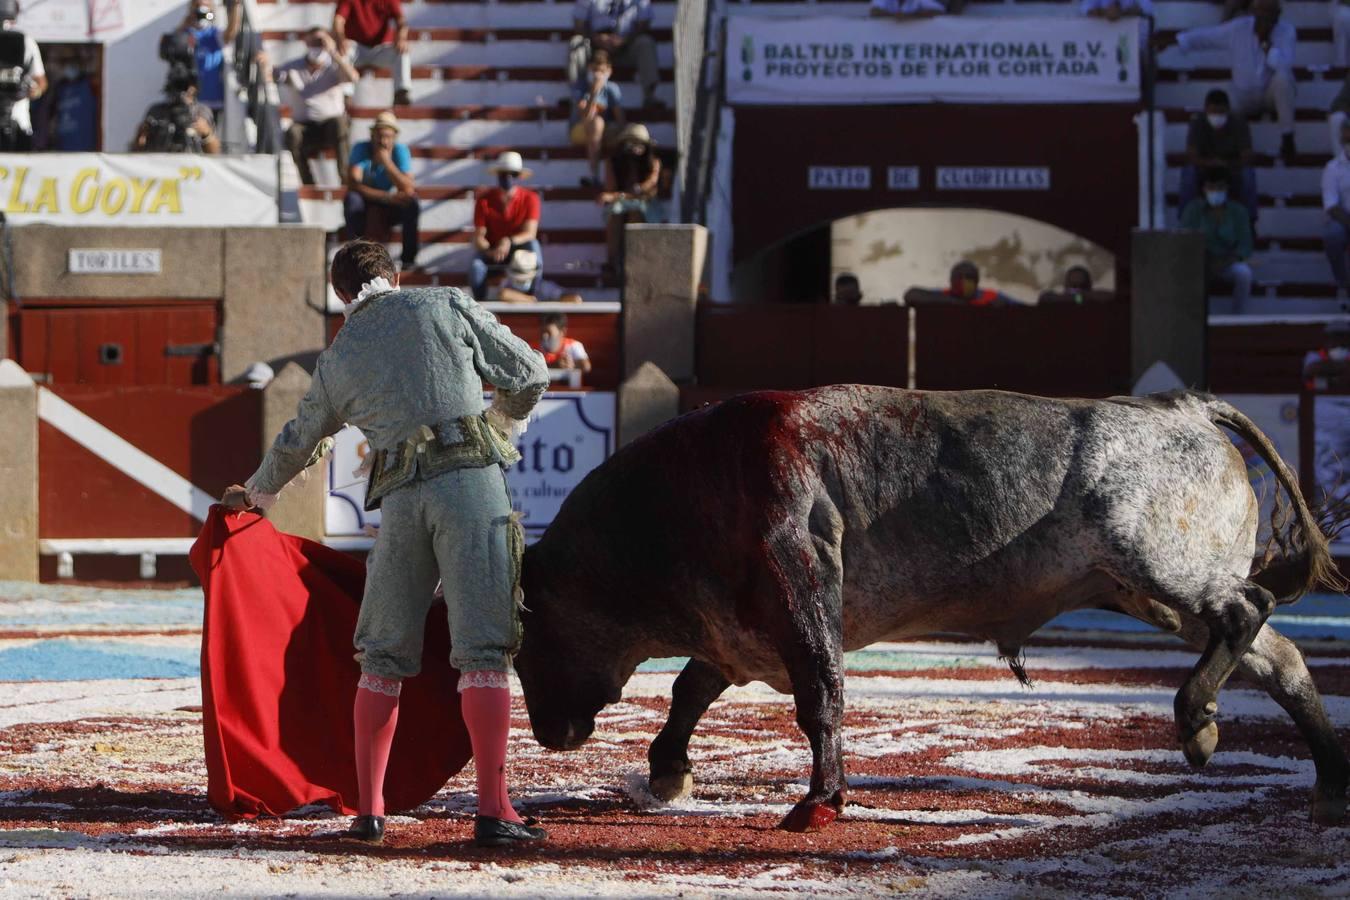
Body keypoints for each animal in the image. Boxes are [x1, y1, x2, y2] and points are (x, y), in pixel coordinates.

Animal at [510, 385, 1344, 831]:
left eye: (529, 637)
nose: (548, 733)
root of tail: (1181, 406)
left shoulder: (800, 589)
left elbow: (819, 697)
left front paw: (820, 802)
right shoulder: (737, 631)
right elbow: (690, 689)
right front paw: (667, 772)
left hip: (1160, 565)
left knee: (1248, 609)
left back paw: (1198, 722)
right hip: (1147, 589)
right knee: (1280, 656)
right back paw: (1329, 783)